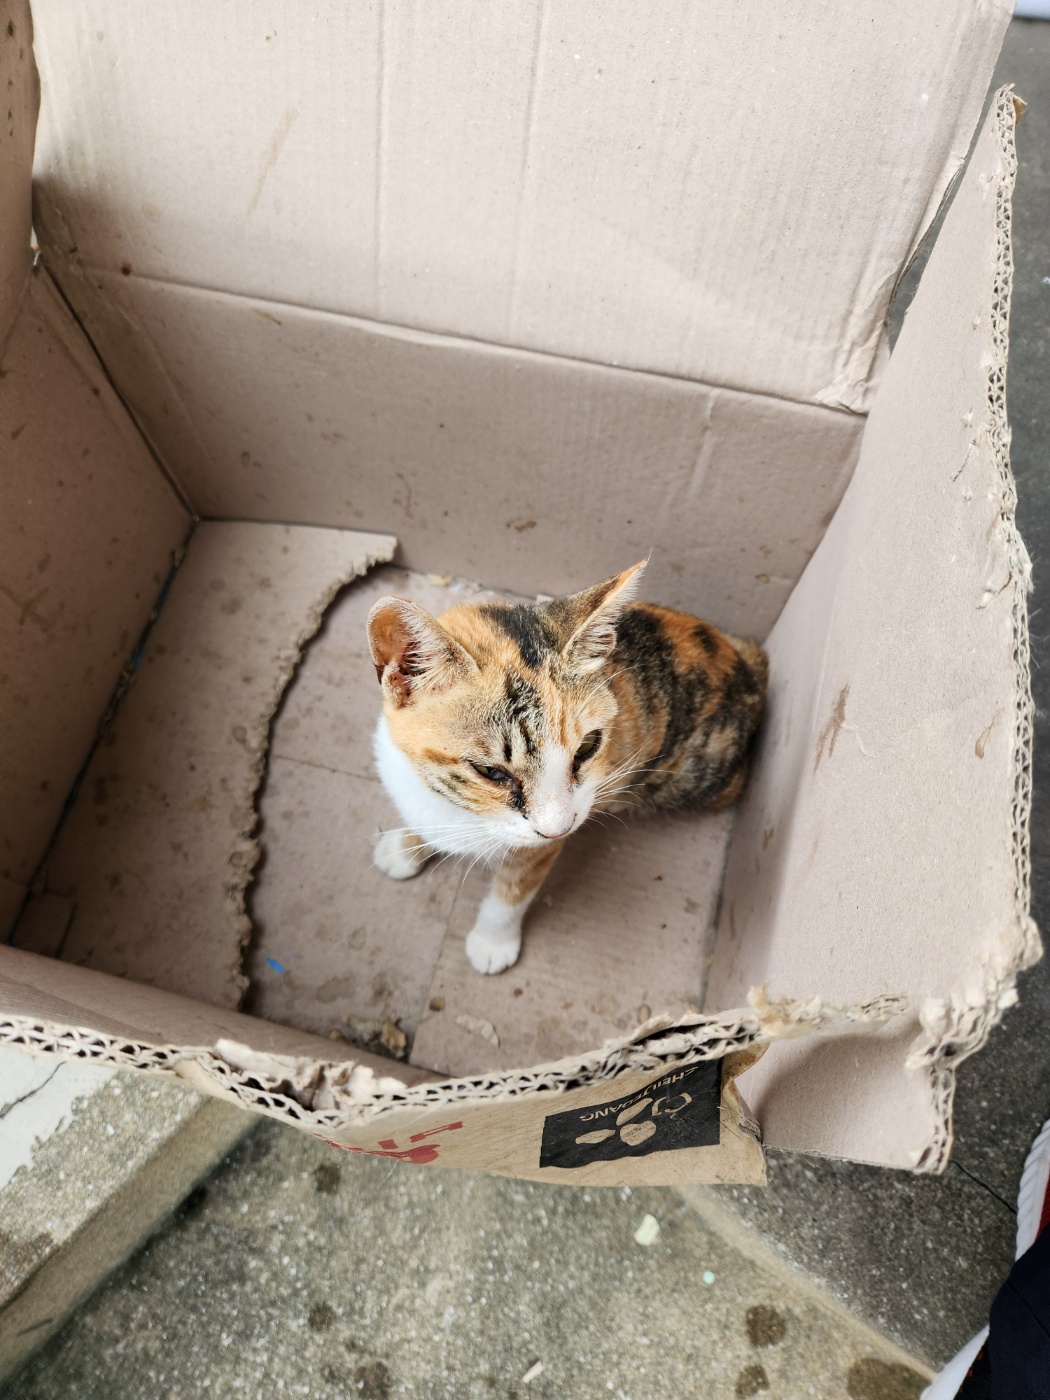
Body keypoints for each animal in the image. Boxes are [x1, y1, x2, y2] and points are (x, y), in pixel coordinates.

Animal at [366, 562, 767, 980]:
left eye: (588, 746)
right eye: (490, 771)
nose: (559, 828)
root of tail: (745, 665)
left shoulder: (540, 846)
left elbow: (514, 890)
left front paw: (493, 942)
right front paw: (405, 846)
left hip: (693, 777)